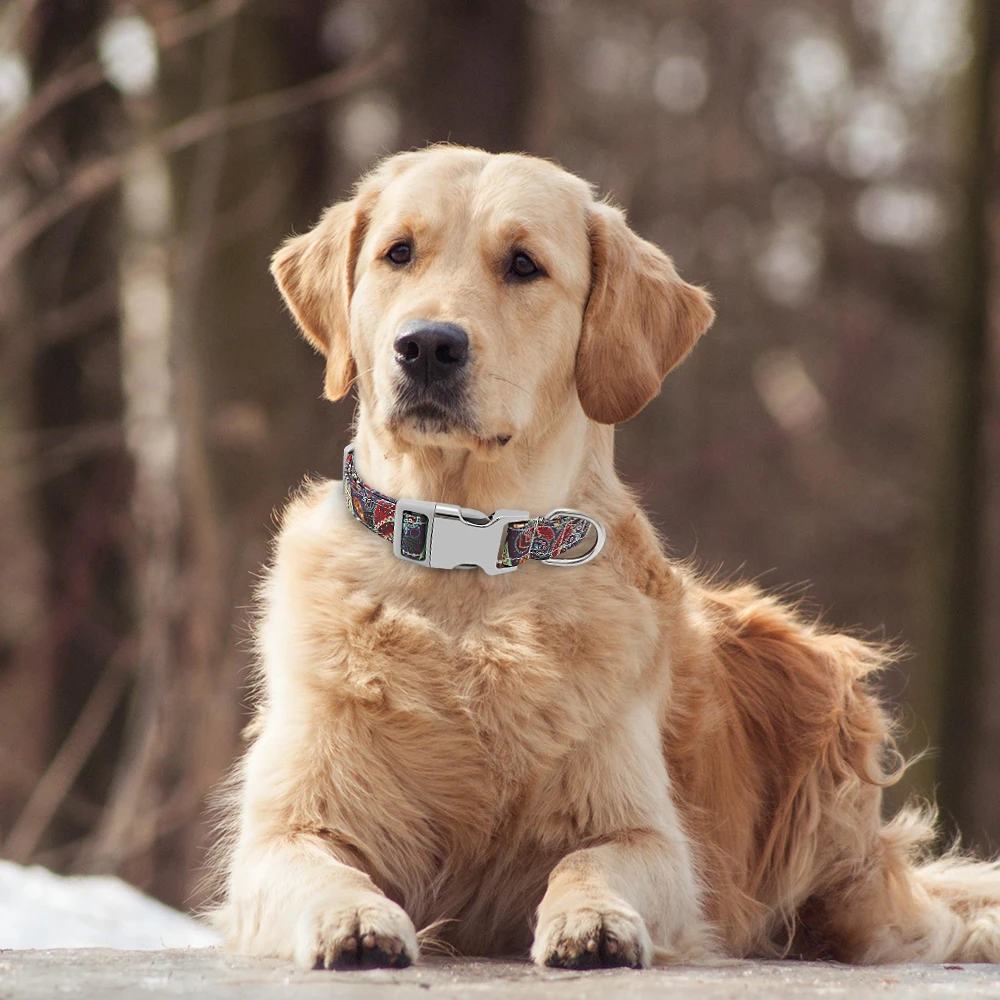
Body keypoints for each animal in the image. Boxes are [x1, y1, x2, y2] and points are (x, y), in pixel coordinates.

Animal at [211, 143, 1000, 968]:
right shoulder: (285, 828)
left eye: (523, 264)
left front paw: (592, 921)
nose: (428, 344)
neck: (469, 564)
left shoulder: (649, 834)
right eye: (399, 253)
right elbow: (322, 868)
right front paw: (356, 919)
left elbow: (588, 859)